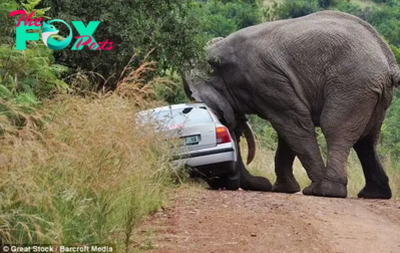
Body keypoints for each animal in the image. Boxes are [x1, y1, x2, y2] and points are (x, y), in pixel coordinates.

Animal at [184, 10, 400, 199]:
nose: (261, 183)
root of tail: (389, 62)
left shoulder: (265, 77)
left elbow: (292, 124)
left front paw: (304, 188)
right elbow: (287, 131)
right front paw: (284, 189)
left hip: (351, 84)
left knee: (334, 128)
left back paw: (324, 191)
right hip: (371, 91)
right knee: (367, 140)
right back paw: (373, 194)